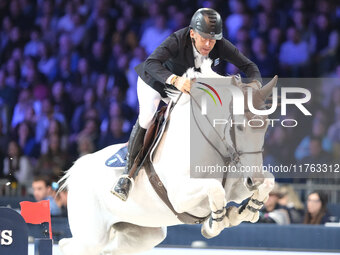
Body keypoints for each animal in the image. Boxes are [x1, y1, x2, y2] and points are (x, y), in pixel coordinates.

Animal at [57, 60, 276, 254]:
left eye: (266, 125)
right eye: (238, 126)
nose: (253, 180)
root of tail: (77, 169)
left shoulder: (236, 186)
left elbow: (268, 182)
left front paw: (243, 212)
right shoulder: (180, 196)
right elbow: (215, 188)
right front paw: (216, 224)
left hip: (143, 234)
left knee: (109, 250)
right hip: (91, 236)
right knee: (69, 246)